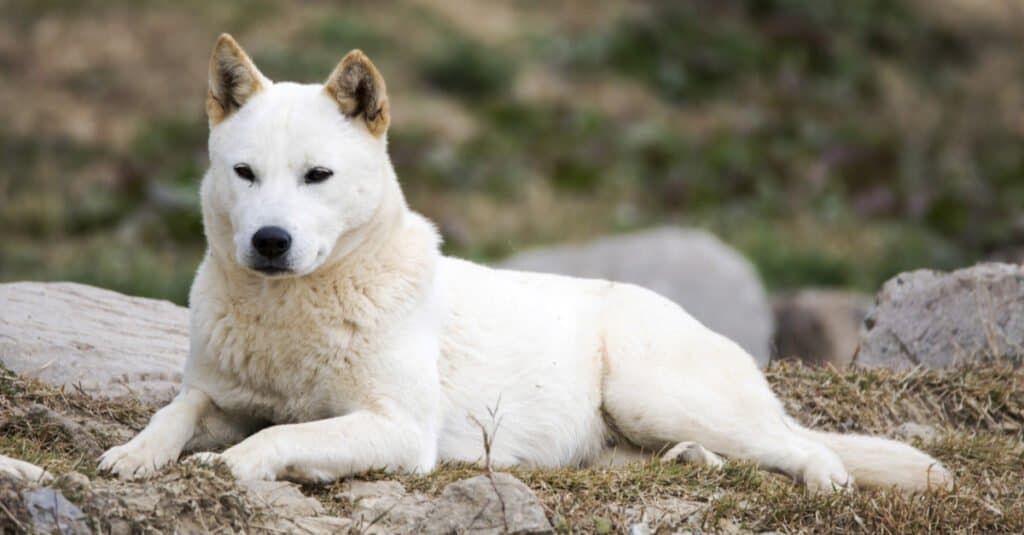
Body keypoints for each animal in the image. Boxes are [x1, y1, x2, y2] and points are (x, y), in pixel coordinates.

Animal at [99, 34, 954, 491]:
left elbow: (270, 442)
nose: (270, 242)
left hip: (656, 393)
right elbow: (176, 410)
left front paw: (231, 467)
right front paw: (134, 454)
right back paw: (693, 462)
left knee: (804, 445)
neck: (290, 315)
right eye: (245, 173)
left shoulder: (396, 429)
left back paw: (825, 479)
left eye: (318, 175)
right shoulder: (219, 395)